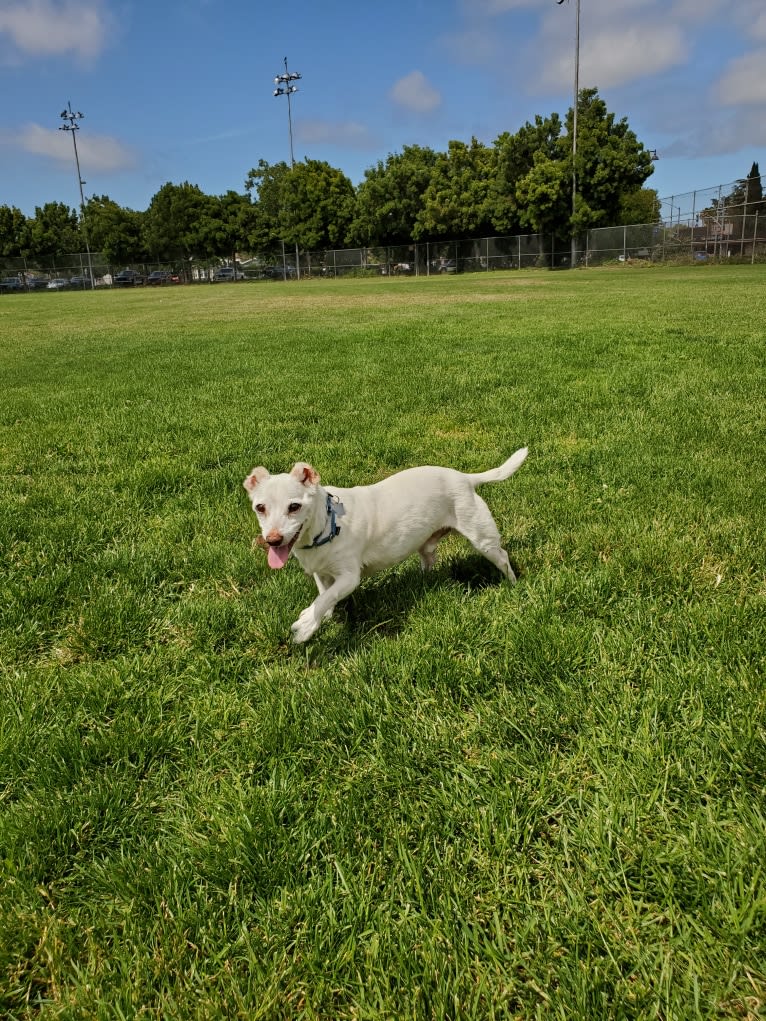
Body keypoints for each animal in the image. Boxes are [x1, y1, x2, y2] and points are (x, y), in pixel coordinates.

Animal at [244, 451, 527, 641]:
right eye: (260, 507)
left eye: (294, 506)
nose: (272, 540)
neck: (327, 525)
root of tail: (466, 478)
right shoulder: (321, 573)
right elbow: (324, 597)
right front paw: (318, 620)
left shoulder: (349, 577)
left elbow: (326, 597)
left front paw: (304, 626)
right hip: (427, 544)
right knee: (429, 561)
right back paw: (423, 582)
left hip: (482, 537)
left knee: (502, 557)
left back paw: (513, 584)